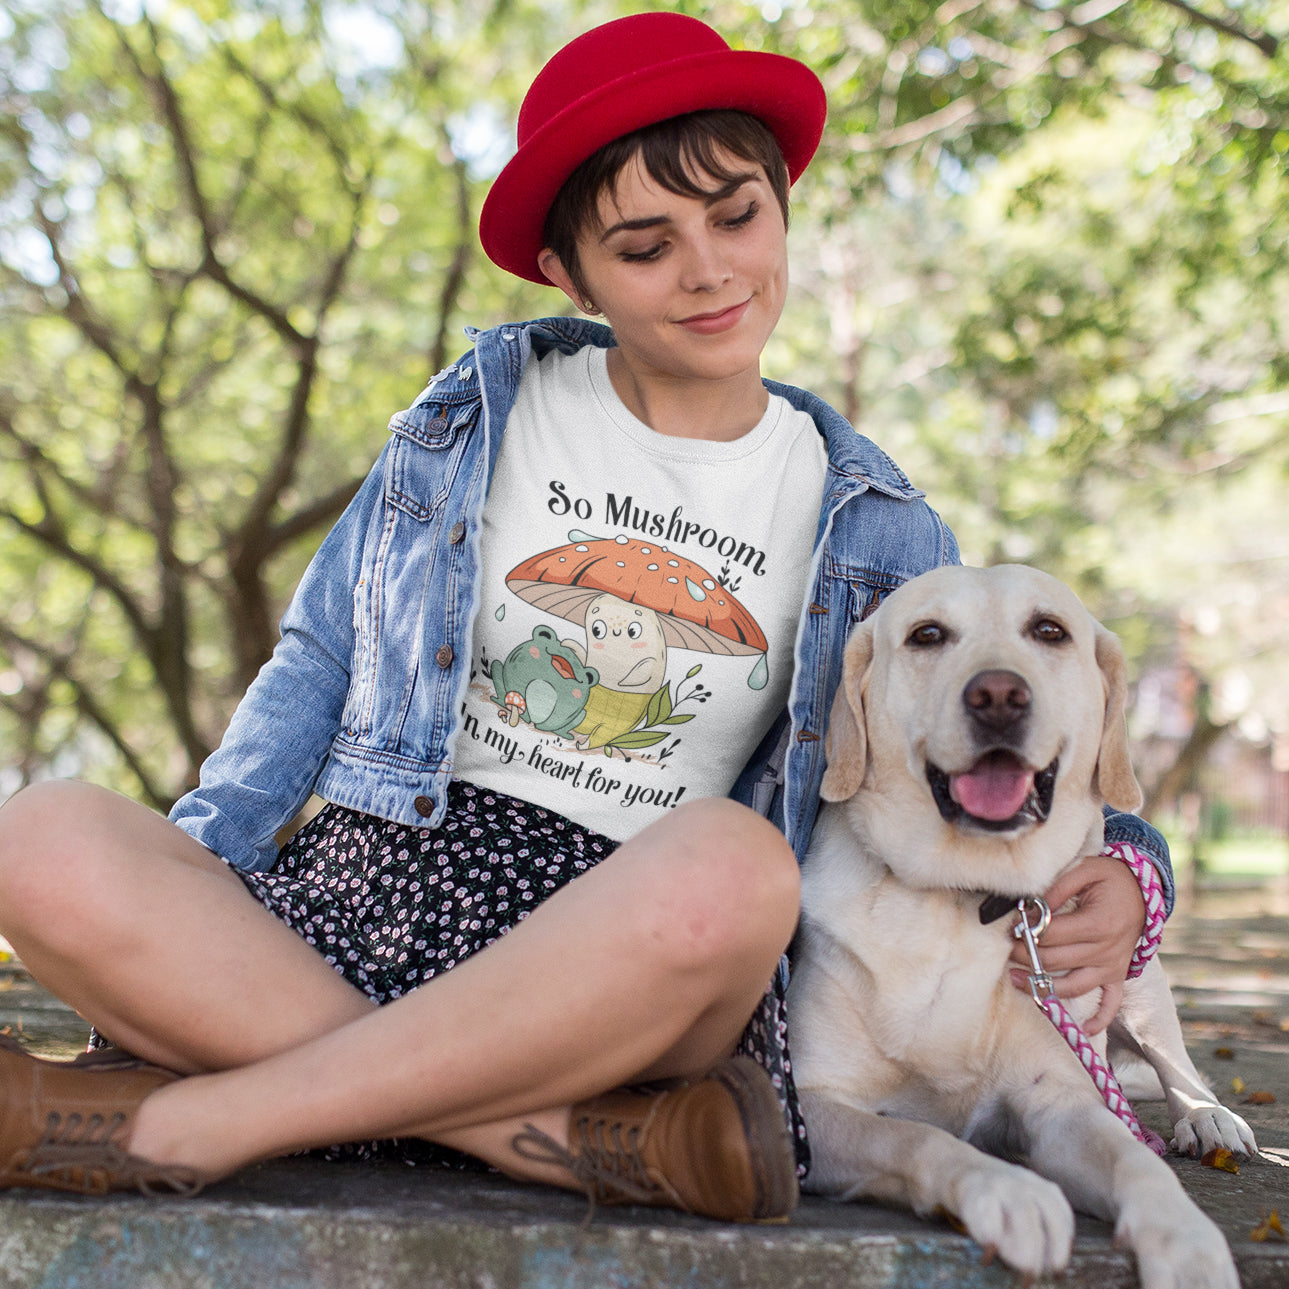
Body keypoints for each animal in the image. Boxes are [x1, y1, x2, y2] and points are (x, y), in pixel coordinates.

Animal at [788, 569, 1252, 1289]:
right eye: (926, 634)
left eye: (1048, 630)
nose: (998, 696)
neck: (966, 896)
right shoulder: (808, 1106)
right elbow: (915, 1134)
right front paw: (1008, 1191)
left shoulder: (1061, 1104)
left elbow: (1135, 1159)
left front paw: (1187, 1239)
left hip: (1141, 984)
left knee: (1174, 1065)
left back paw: (1209, 1120)